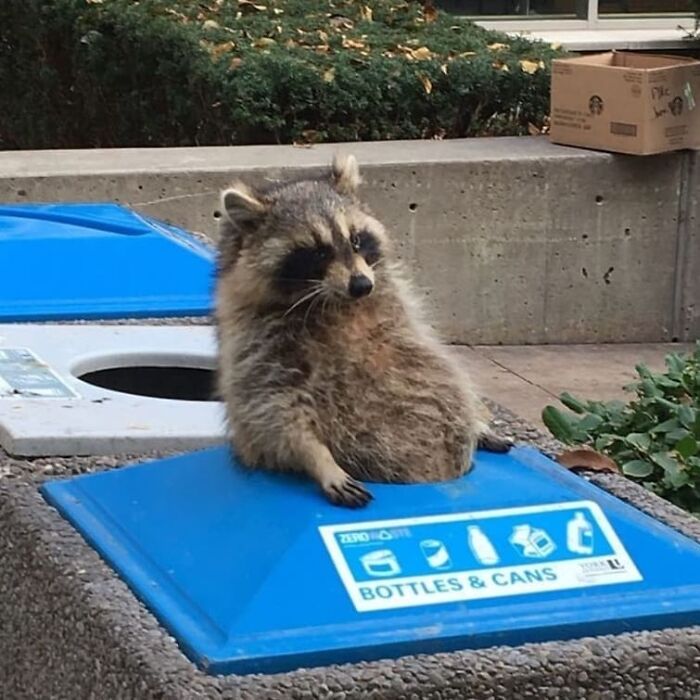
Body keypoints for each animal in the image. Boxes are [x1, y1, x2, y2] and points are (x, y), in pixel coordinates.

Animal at [215, 154, 511, 508]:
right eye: (318, 252)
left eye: (356, 239)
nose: (361, 286)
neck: (333, 303)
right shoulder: (257, 344)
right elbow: (272, 407)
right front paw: (319, 458)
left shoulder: (401, 308)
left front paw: (478, 423)